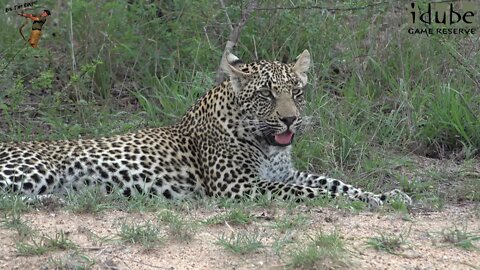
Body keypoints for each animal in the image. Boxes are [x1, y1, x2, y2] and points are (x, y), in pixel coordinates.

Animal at [0, 50, 412, 207]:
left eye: (296, 92)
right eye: (266, 94)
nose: (290, 118)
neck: (267, 144)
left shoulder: (286, 173)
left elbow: (332, 182)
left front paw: (388, 195)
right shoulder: (240, 186)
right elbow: (310, 192)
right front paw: (362, 201)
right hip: (34, 171)